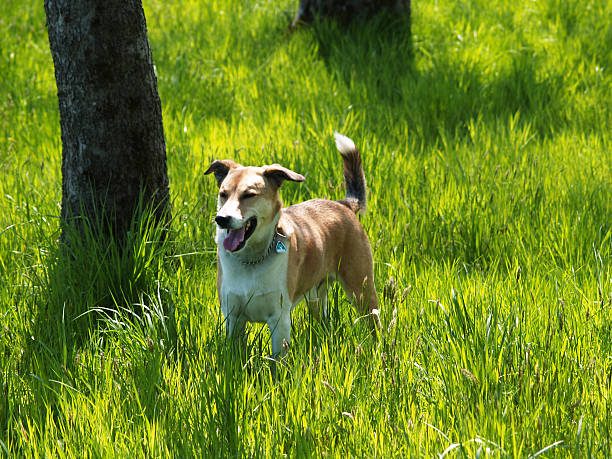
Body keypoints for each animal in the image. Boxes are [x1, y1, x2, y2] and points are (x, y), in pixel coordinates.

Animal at [204, 133, 378, 356]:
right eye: (223, 194)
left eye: (249, 195)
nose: (222, 219)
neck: (251, 260)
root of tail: (343, 204)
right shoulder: (233, 318)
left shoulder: (279, 320)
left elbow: (277, 360)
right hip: (316, 297)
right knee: (324, 321)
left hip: (362, 290)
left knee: (375, 322)